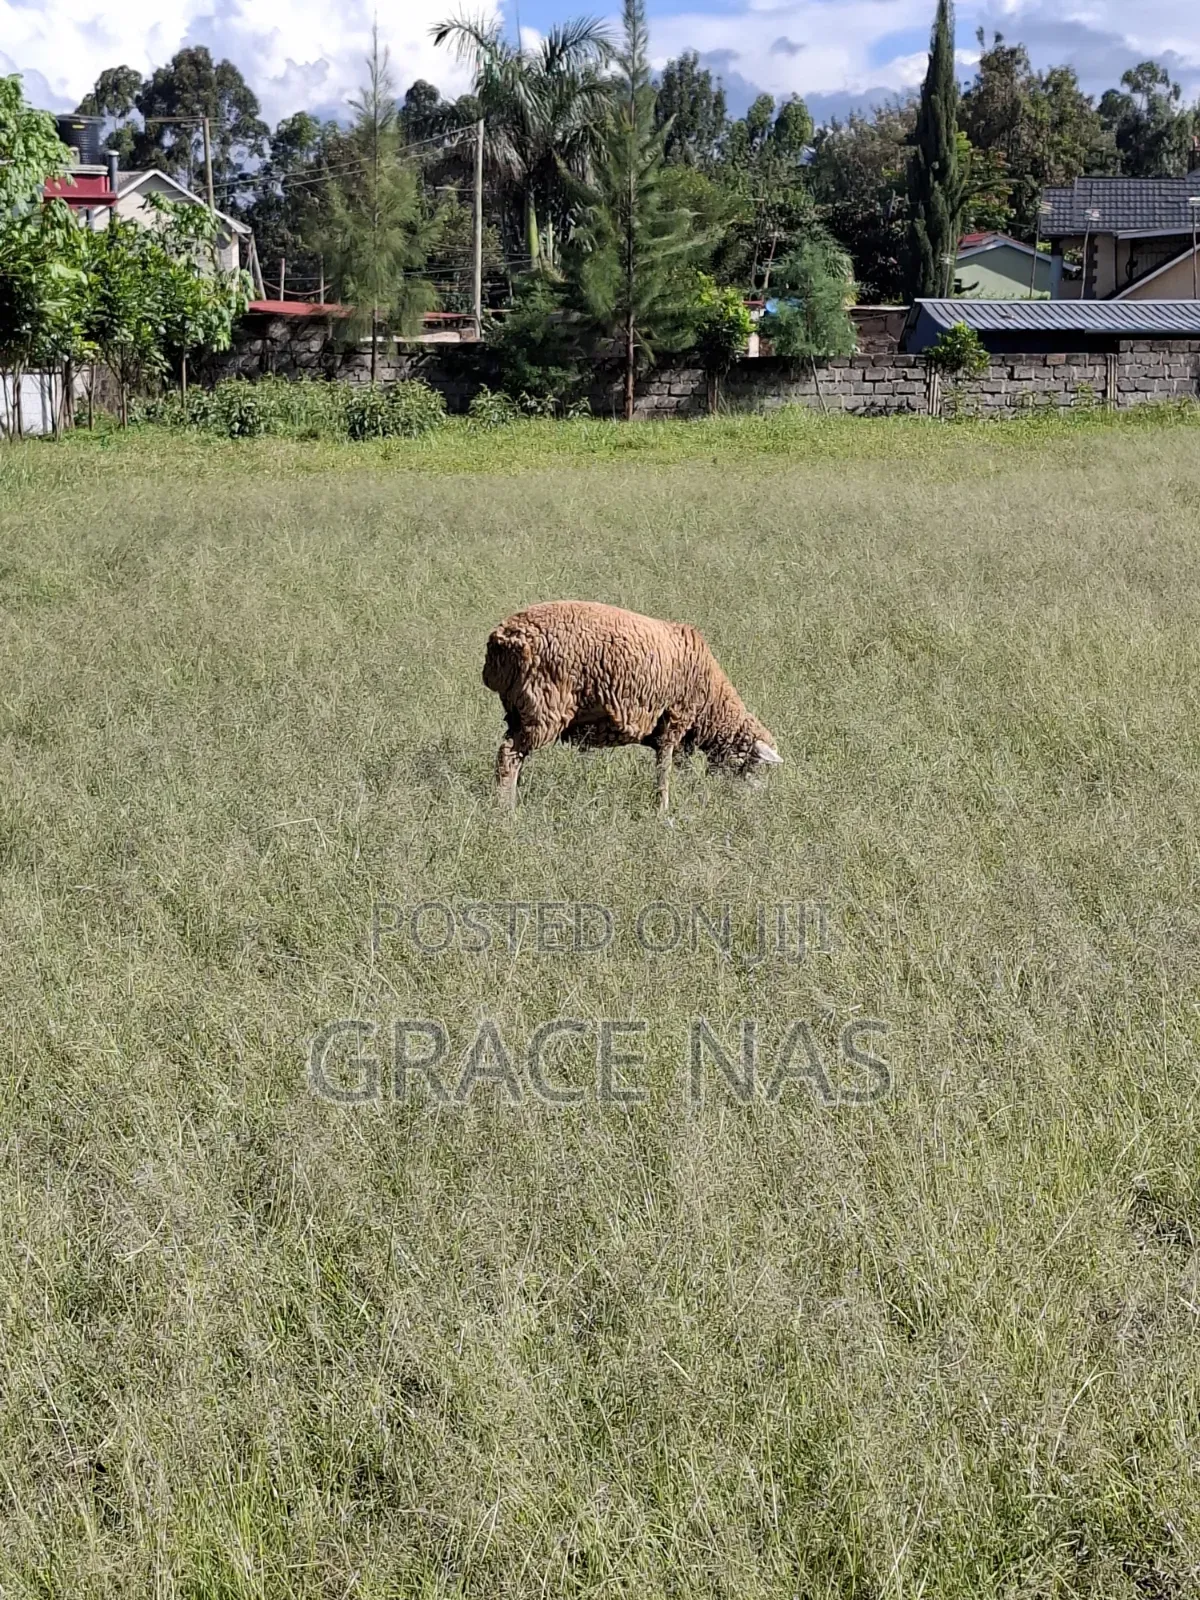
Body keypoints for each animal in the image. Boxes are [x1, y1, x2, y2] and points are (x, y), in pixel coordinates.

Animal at [482, 600, 781, 810]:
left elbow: (680, 766)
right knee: (508, 754)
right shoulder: (675, 719)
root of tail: (502, 639)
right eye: (756, 765)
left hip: (519, 710)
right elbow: (664, 769)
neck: (711, 704)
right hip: (544, 707)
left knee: (513, 755)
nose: (755, 802)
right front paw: (663, 810)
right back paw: (506, 808)